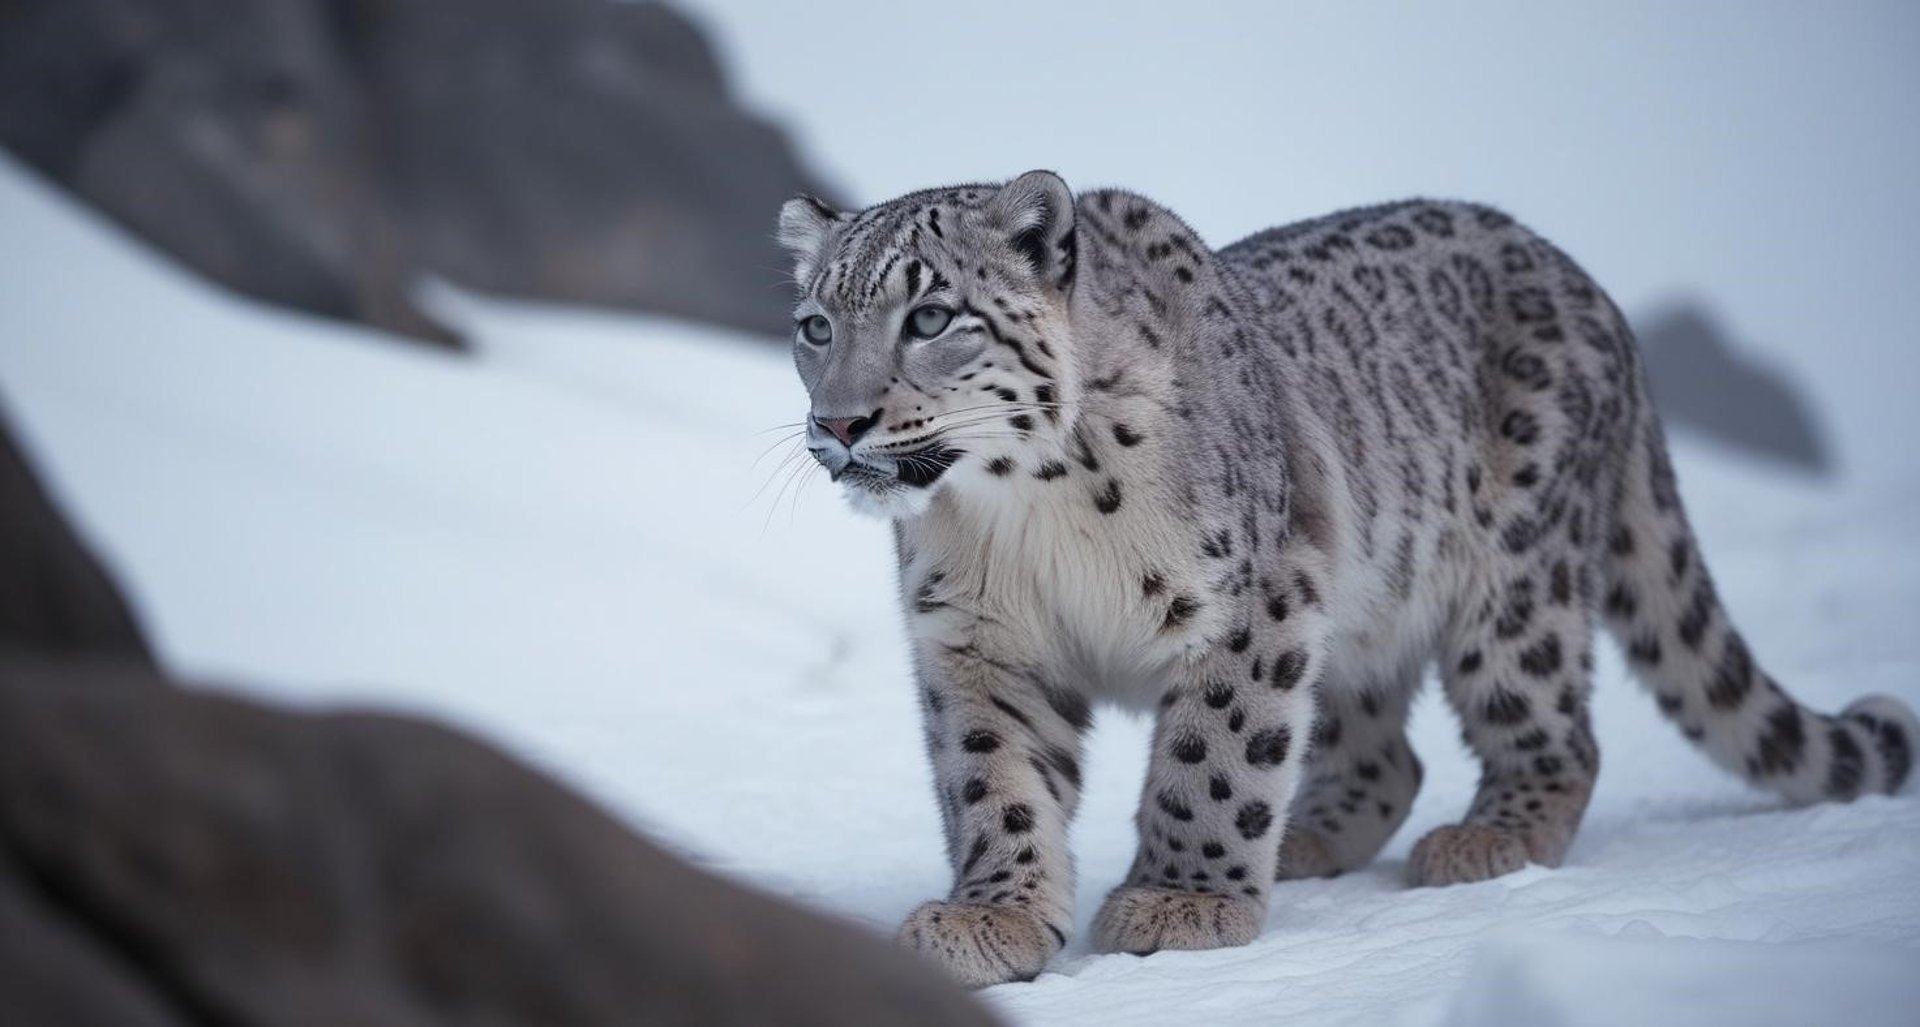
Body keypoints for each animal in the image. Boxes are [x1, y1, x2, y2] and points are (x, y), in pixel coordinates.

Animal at [773, 170, 1918, 988]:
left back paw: (1486, 839)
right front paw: (994, 916)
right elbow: (994, 780)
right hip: (1360, 618)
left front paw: (1182, 903)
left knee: (1552, 727)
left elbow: (1213, 755)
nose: (840, 423)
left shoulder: (1248, 604)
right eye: (816, 326)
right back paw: (1309, 836)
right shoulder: (977, 641)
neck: (1022, 516)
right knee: (1384, 752)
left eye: (931, 317)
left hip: (1515, 585)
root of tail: (1590, 287)